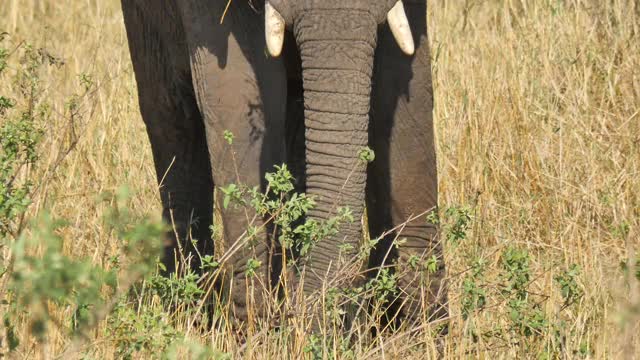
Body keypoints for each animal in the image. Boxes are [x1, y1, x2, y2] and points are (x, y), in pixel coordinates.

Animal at [122, 0, 448, 326]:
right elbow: (237, 94)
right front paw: (256, 331)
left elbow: (403, 91)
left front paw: (420, 327)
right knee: (172, 117)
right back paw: (187, 310)